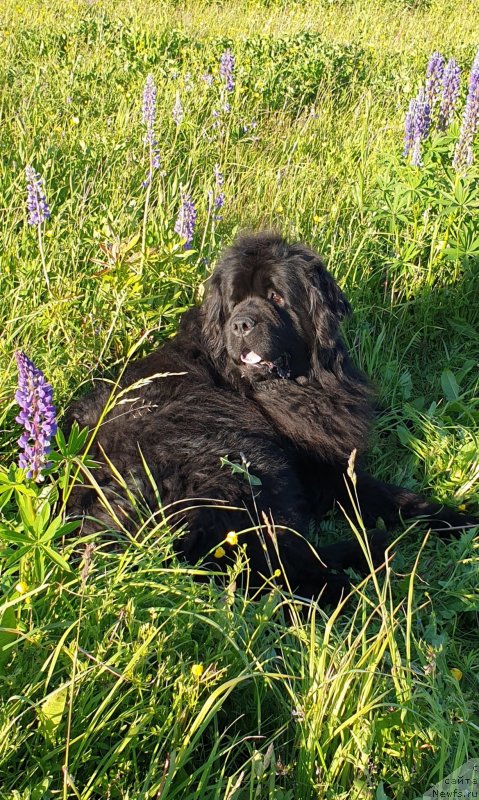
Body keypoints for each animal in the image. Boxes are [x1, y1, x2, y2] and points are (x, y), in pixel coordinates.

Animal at [65, 230, 478, 600]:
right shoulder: (319, 471)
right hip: (245, 462)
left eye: (277, 297)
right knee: (279, 567)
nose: (241, 324)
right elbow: (380, 493)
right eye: (234, 302)